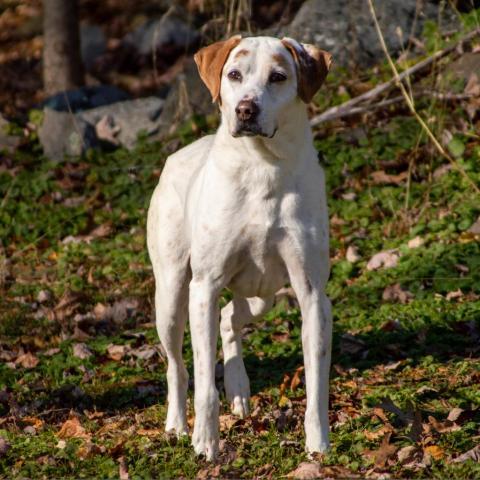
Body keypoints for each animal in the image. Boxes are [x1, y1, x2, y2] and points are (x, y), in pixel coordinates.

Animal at [147, 35, 334, 460]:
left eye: (278, 77)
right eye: (233, 74)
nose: (245, 109)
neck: (263, 168)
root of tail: (178, 153)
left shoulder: (312, 294)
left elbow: (316, 380)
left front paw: (318, 445)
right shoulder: (204, 287)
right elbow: (203, 380)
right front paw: (205, 444)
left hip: (263, 294)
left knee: (231, 318)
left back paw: (238, 387)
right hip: (172, 295)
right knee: (177, 366)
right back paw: (177, 425)